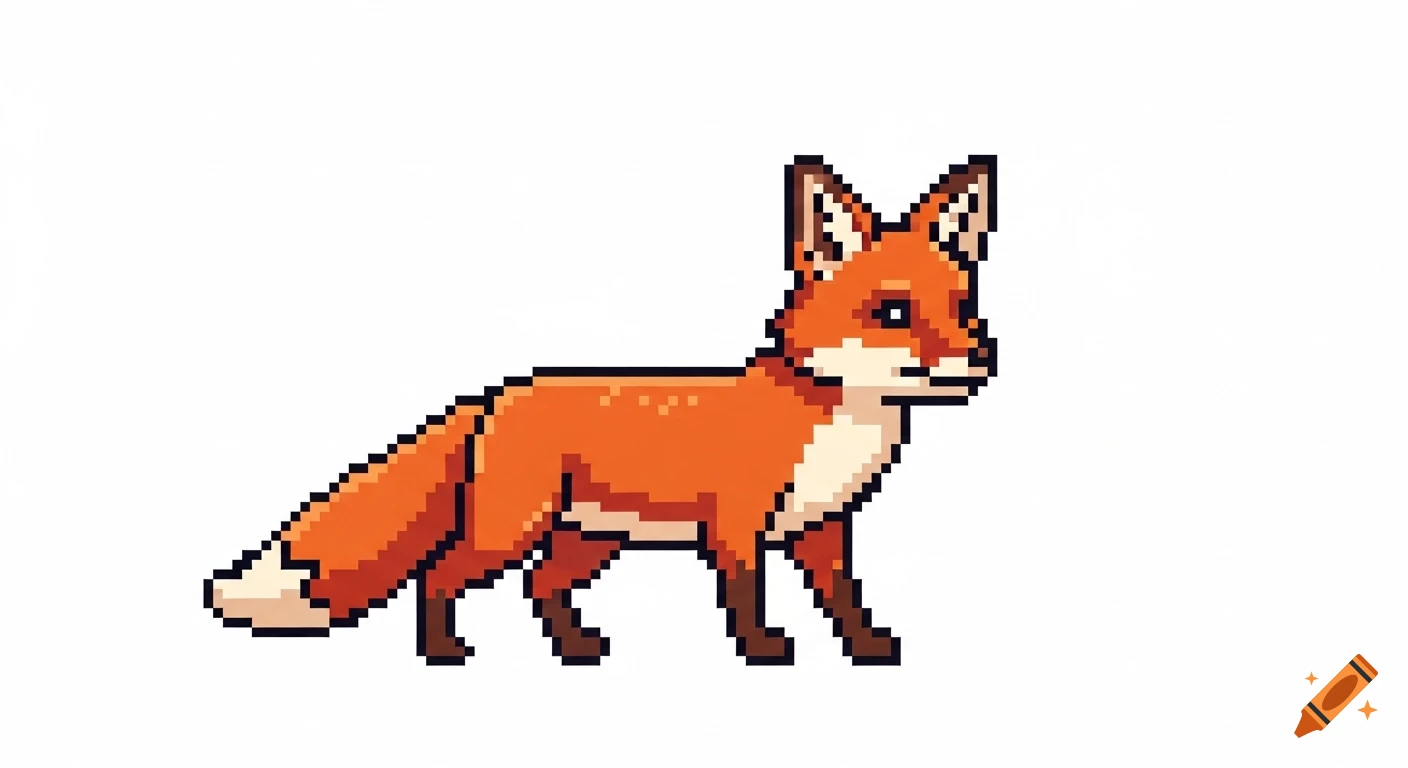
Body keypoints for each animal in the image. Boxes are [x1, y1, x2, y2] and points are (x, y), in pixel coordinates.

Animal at [206, 154, 998, 666]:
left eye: (963, 308)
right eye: (892, 312)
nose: (980, 361)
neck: (836, 419)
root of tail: (499, 393)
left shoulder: (824, 531)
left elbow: (844, 600)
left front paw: (868, 648)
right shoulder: (738, 526)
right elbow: (747, 596)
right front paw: (763, 651)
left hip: (588, 540)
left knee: (539, 587)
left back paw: (576, 649)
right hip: (512, 530)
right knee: (440, 575)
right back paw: (444, 651)